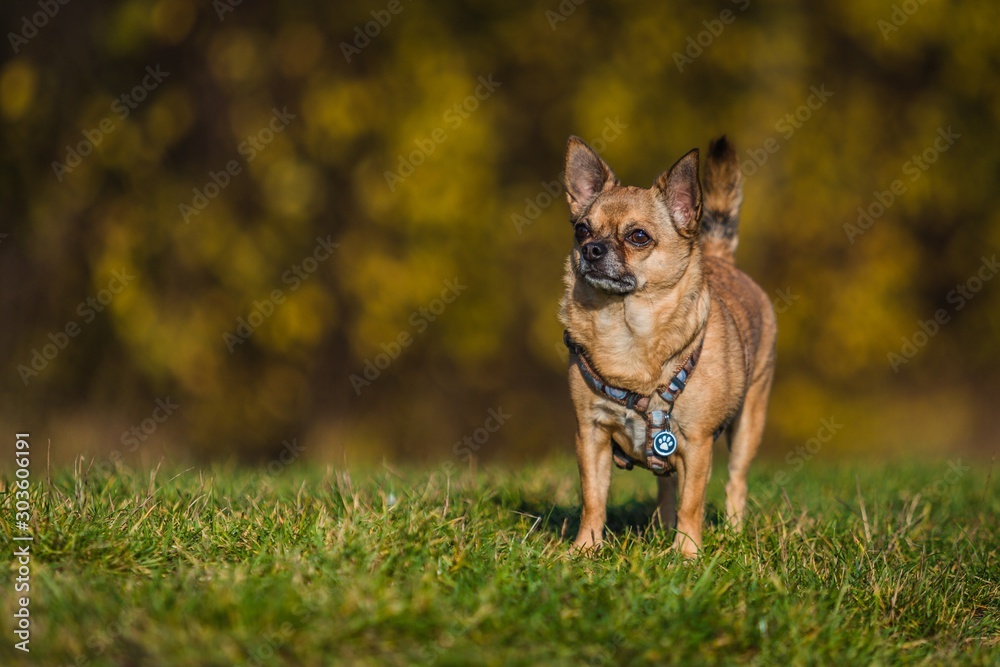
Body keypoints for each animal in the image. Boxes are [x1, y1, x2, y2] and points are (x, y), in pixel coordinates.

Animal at [560, 133, 776, 556]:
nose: (592, 249)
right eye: (582, 230)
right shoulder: (590, 433)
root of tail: (720, 259)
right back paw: (661, 526)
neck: (625, 327)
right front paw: (585, 550)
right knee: (666, 485)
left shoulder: (696, 442)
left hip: (747, 424)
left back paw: (731, 532)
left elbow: (693, 502)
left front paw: (688, 554)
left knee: (735, 482)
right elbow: (593, 497)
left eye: (638, 237)